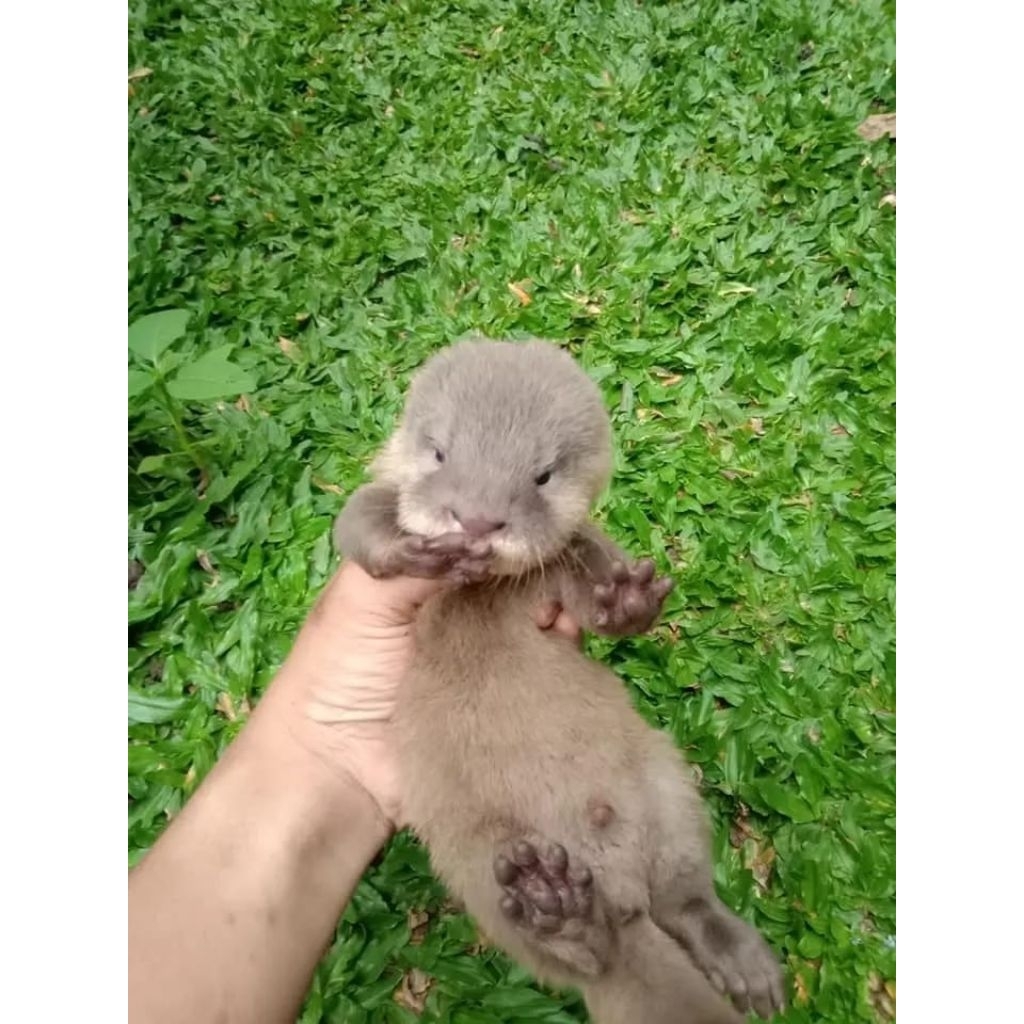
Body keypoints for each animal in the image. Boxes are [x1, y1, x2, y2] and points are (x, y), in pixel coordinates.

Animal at [333, 339, 784, 1023]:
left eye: (542, 475)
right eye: (440, 451)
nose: (477, 520)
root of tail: (618, 895)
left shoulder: (575, 557)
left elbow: (600, 599)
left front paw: (626, 599)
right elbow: (355, 519)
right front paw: (409, 549)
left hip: (664, 781)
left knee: (681, 898)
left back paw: (735, 961)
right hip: (476, 865)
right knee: (588, 955)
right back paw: (567, 916)